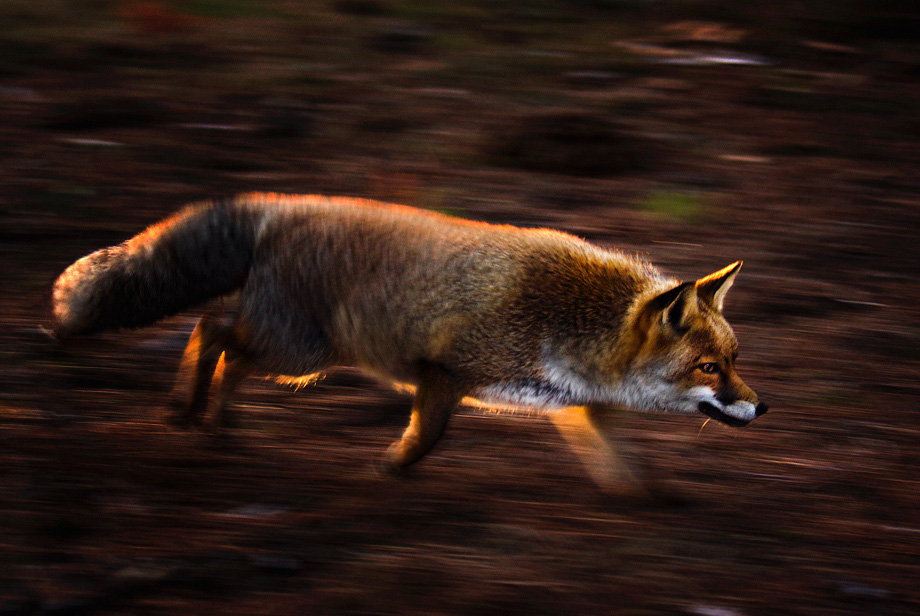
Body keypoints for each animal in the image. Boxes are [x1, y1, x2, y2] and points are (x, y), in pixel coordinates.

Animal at [52, 193, 766, 497]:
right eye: (708, 367)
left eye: (734, 362)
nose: (763, 408)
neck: (569, 325)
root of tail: (278, 204)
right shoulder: (444, 373)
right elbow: (426, 439)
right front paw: (389, 472)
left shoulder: (575, 407)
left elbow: (621, 464)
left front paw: (643, 500)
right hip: (300, 354)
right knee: (213, 334)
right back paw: (191, 413)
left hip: (293, 355)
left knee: (221, 345)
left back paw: (214, 425)